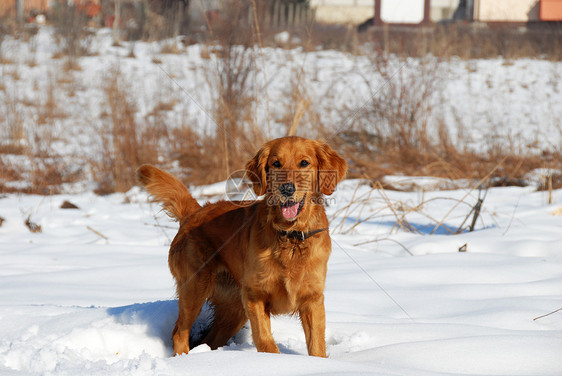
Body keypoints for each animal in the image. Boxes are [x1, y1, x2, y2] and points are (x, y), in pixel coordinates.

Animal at [137, 137, 346, 356]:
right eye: (276, 163)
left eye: (304, 163)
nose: (287, 189)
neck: (291, 237)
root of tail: (195, 212)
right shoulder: (255, 296)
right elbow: (265, 340)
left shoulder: (312, 299)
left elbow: (317, 346)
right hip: (195, 287)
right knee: (179, 333)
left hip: (233, 309)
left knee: (210, 338)